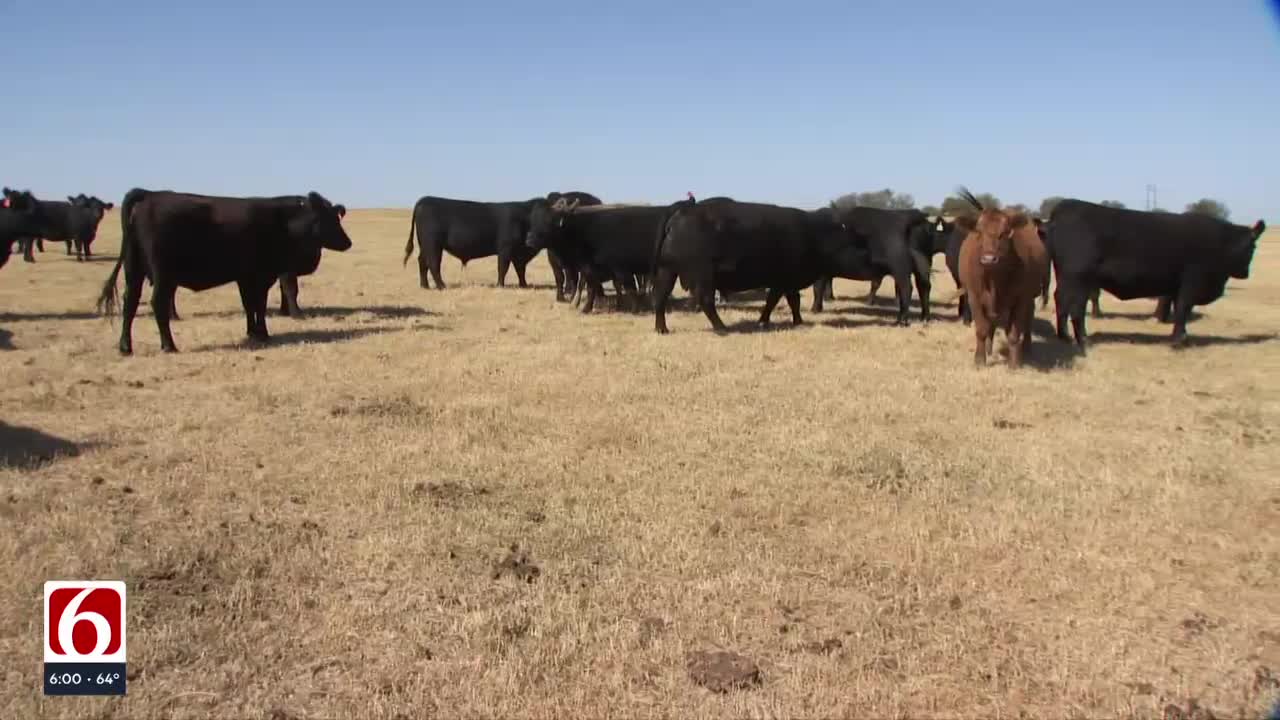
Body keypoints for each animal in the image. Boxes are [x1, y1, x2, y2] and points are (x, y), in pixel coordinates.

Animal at [97, 185, 353, 351]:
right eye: (331, 218)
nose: (348, 242)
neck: (281, 221)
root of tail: (148, 195)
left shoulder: (246, 277)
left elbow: (249, 305)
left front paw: (253, 332)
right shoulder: (261, 276)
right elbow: (259, 305)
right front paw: (262, 333)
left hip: (134, 269)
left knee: (130, 303)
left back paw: (125, 346)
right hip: (163, 275)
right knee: (157, 303)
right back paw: (168, 345)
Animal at [527, 198, 670, 311]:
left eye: (549, 222)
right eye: (534, 220)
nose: (529, 240)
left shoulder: (598, 269)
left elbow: (593, 287)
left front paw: (585, 308)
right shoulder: (580, 269)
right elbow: (580, 285)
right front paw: (576, 303)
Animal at [650, 196, 870, 330]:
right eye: (856, 243)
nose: (870, 259)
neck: (814, 234)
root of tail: (682, 211)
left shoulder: (782, 282)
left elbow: (781, 301)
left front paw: (780, 320)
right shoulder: (785, 280)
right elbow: (785, 300)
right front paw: (789, 321)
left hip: (667, 271)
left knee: (661, 297)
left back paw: (662, 329)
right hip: (703, 275)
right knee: (705, 300)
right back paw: (722, 327)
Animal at [957, 188, 1044, 366]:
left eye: (1004, 233)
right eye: (979, 232)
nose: (989, 259)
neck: (994, 281)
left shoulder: (1021, 299)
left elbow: (1014, 333)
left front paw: (1014, 364)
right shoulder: (975, 297)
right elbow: (981, 329)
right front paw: (980, 359)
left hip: (1031, 296)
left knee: (1028, 322)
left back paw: (1027, 348)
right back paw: (989, 349)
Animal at [1044, 197, 1264, 348]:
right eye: (1252, 247)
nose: (1246, 273)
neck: (1220, 242)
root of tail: (1063, 208)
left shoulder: (1176, 287)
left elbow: (1174, 307)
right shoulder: (1191, 284)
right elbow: (1183, 309)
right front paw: (1178, 341)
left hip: (1069, 278)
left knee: (1061, 301)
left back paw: (1064, 337)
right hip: (1079, 278)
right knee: (1076, 308)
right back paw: (1083, 339)